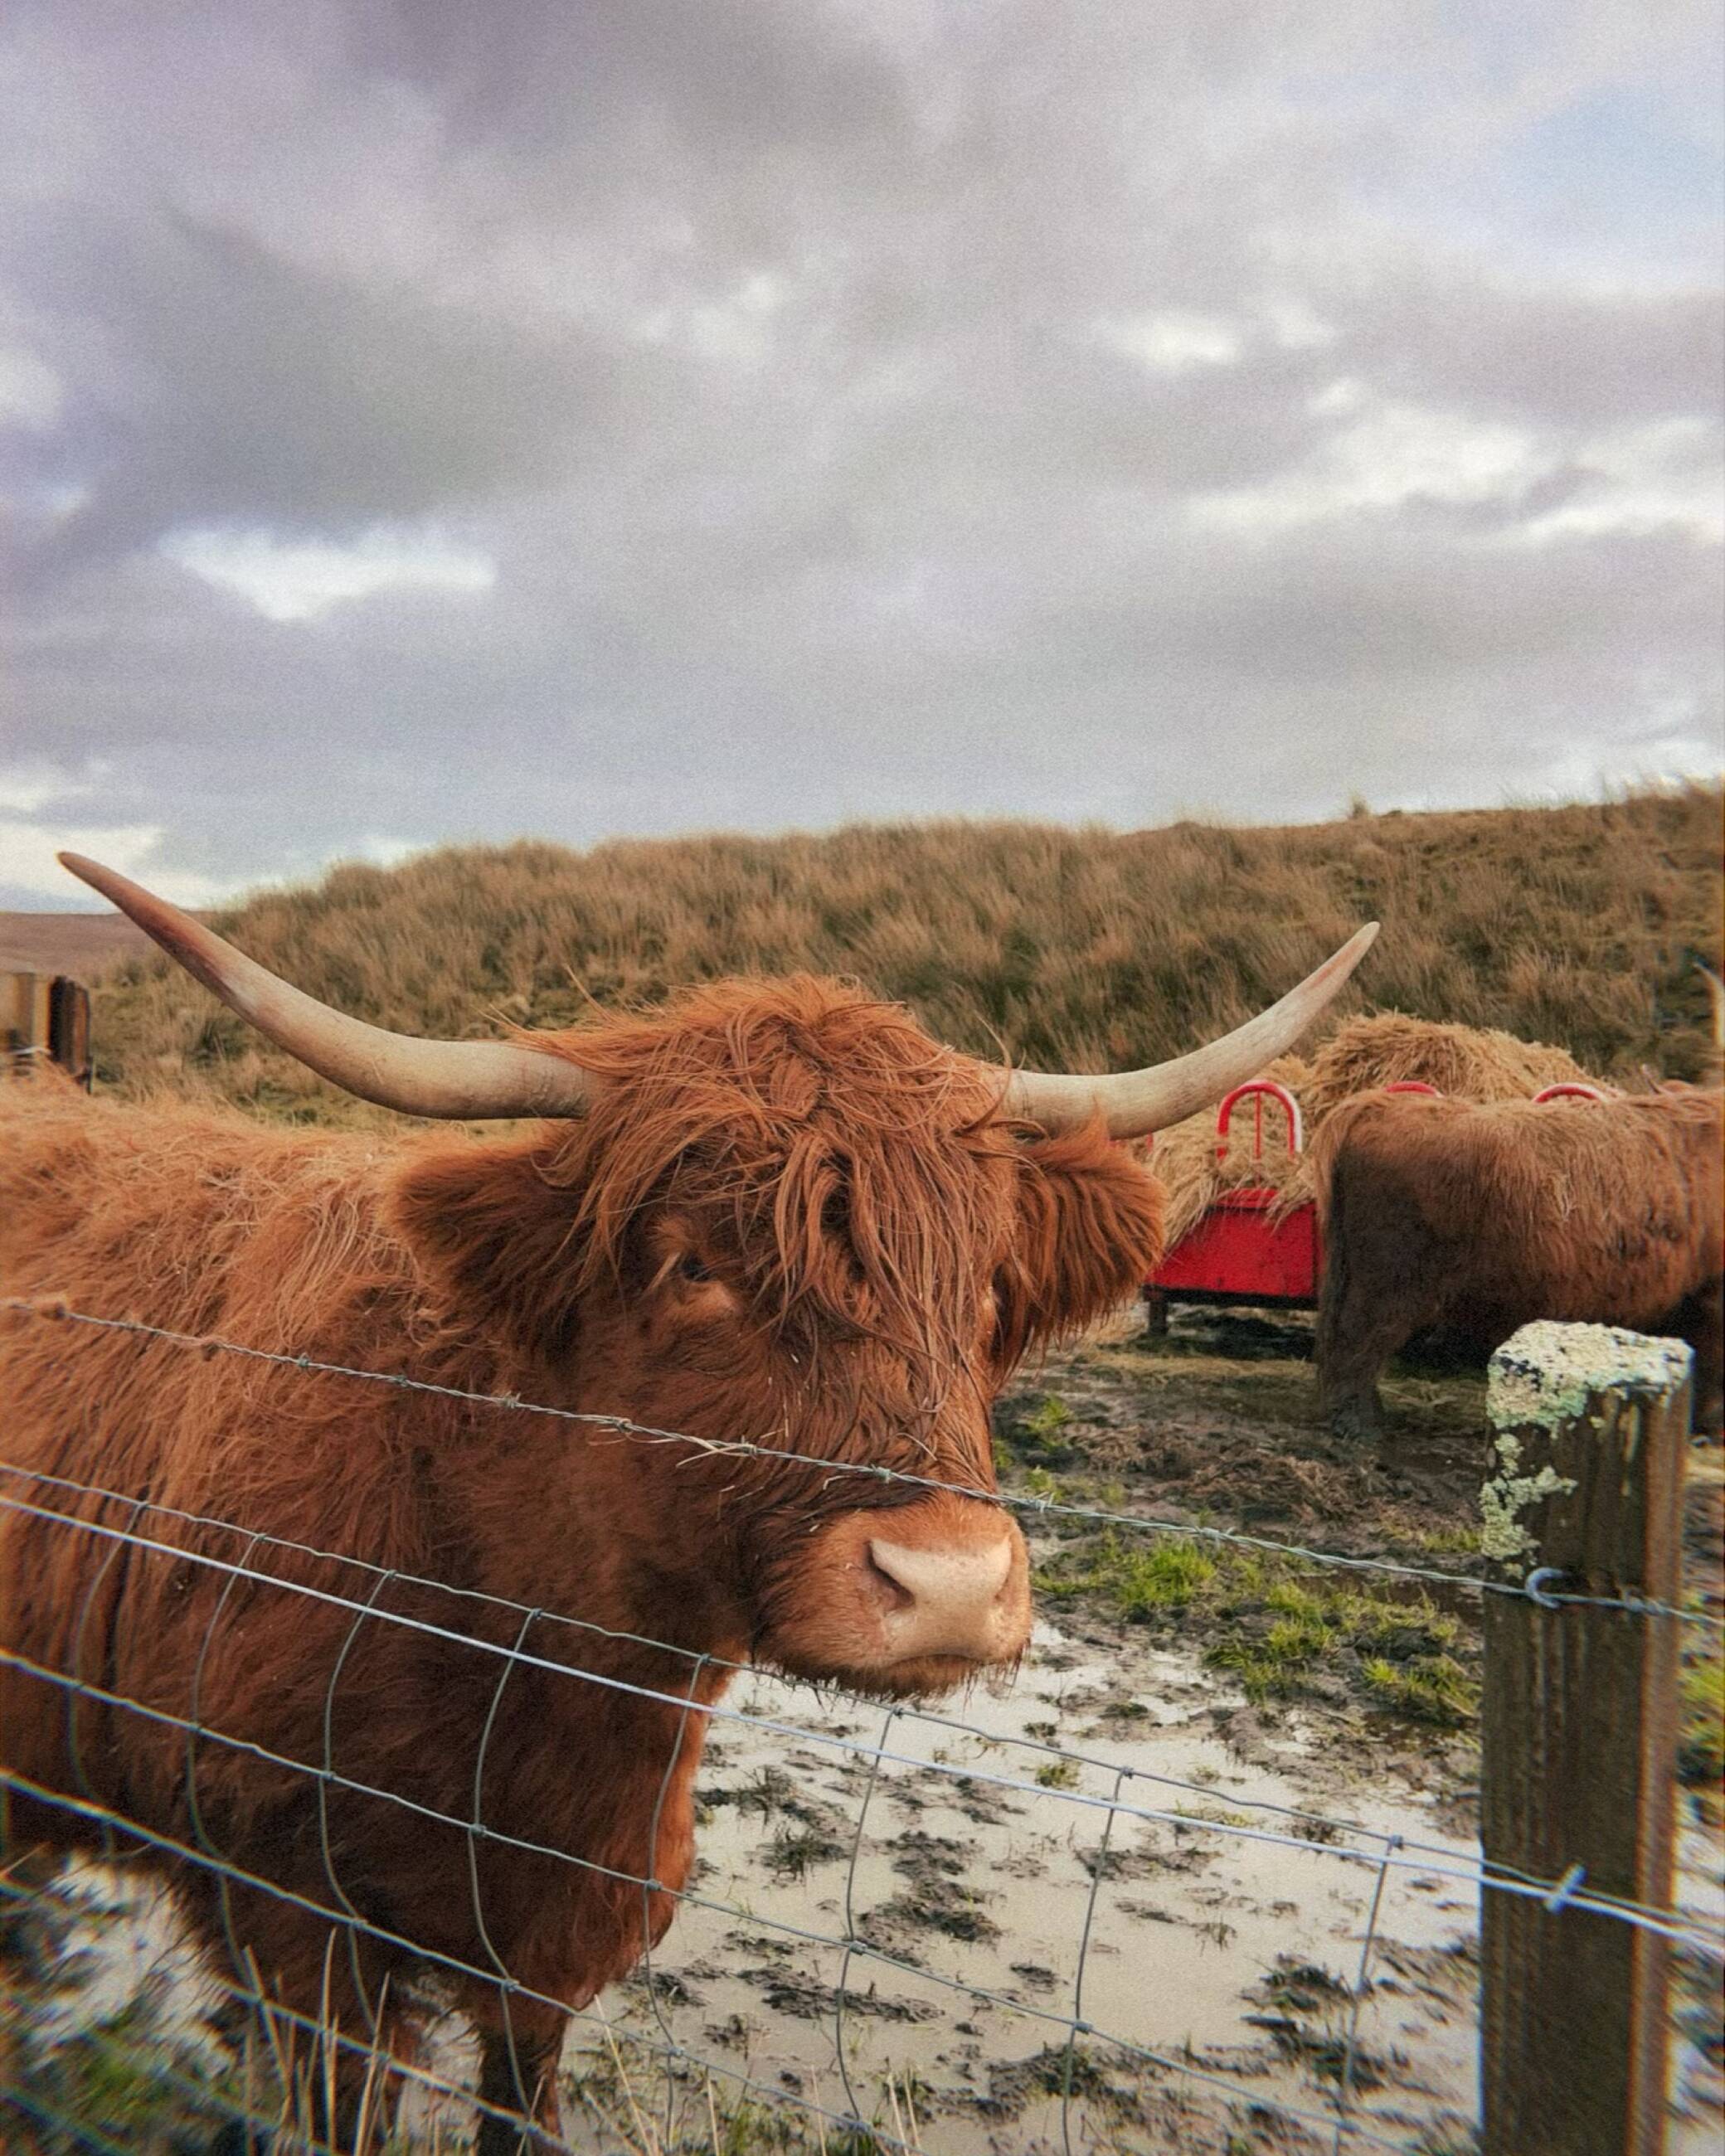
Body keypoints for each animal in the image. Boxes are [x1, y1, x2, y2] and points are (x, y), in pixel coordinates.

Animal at [0, 854, 1375, 2151]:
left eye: (985, 1284)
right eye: (692, 1264)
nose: (949, 1587)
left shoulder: (558, 1935)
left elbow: (522, 2107)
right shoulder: (290, 1914)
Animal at [1312, 1087, 1724, 1451]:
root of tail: (1379, 1104)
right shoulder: (1710, 1302)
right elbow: (1708, 1368)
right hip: (1390, 1283)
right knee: (1359, 1340)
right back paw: (1361, 1425)